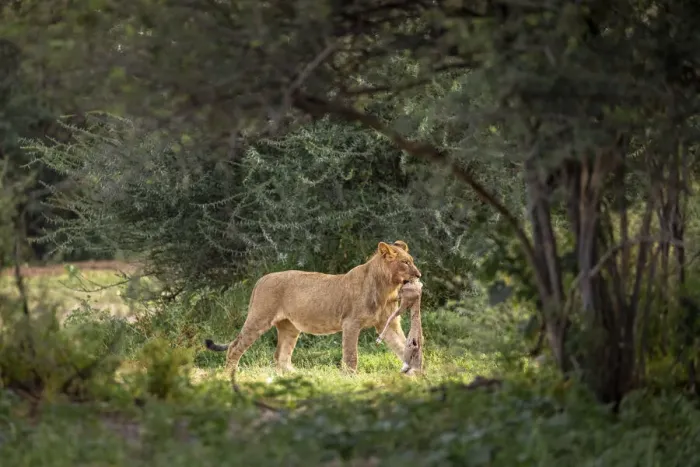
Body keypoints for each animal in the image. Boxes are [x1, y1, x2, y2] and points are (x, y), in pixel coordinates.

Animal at [204, 240, 422, 375]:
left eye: (412, 261)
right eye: (405, 262)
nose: (419, 275)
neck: (387, 287)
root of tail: (262, 279)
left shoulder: (388, 325)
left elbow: (402, 346)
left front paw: (415, 373)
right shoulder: (351, 323)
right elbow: (351, 355)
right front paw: (351, 378)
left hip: (290, 327)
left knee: (281, 355)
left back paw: (296, 376)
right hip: (259, 318)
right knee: (235, 346)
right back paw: (229, 374)